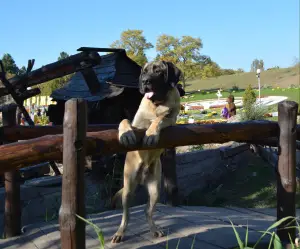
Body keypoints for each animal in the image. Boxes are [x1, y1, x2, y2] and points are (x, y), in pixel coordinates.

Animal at [111, 60, 182, 243]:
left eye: (158, 71)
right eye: (144, 71)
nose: (145, 81)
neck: (157, 103)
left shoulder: (172, 119)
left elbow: (161, 118)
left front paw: (151, 133)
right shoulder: (137, 123)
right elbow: (124, 120)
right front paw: (126, 134)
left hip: (155, 189)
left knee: (147, 211)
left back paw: (154, 229)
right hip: (128, 188)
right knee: (126, 215)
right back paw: (120, 232)